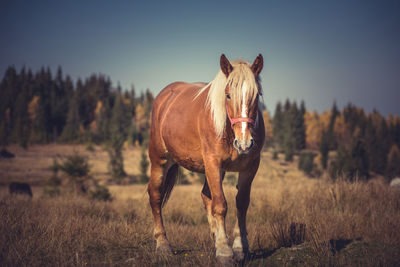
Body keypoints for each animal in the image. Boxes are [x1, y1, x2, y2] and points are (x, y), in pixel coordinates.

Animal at [148, 54, 264, 264]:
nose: (244, 143)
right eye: (228, 95)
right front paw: (225, 251)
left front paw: (238, 247)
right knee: (155, 195)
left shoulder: (250, 167)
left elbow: (241, 203)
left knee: (205, 196)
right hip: (159, 159)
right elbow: (220, 205)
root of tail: (165, 95)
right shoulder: (213, 163)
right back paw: (162, 244)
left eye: (256, 95)